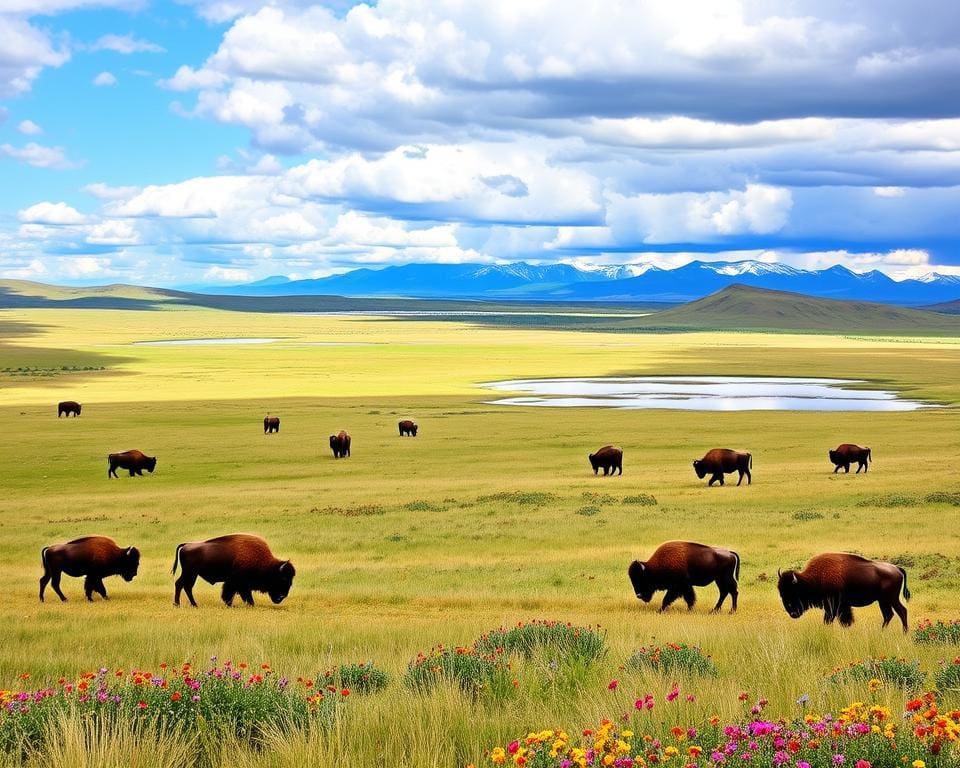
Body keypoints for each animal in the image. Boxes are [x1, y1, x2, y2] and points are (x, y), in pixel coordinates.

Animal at [776, 556, 912, 632]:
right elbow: (844, 620)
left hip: (892, 599)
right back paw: (881, 632)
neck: (813, 579)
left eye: (793, 591)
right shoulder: (841, 606)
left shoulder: (833, 606)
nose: (792, 613)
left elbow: (830, 620)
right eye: (781, 593)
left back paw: (904, 632)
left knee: (902, 611)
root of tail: (897, 568)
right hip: (882, 601)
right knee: (888, 615)